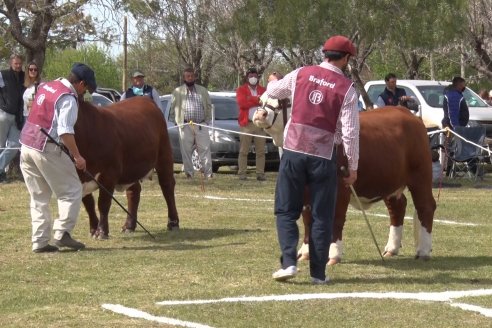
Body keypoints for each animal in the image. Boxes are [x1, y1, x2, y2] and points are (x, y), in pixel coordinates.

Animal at [75, 96, 179, 238]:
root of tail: (145, 99)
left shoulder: (109, 174)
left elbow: (103, 203)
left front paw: (101, 231)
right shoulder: (78, 176)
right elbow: (88, 203)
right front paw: (93, 229)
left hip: (164, 155)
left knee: (167, 186)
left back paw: (173, 223)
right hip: (131, 169)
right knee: (134, 191)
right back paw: (129, 226)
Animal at [256, 102, 436, 264]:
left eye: (282, 102)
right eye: (263, 96)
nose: (260, 113)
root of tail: (409, 114)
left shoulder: (340, 188)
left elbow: (336, 218)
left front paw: (334, 254)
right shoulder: (304, 190)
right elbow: (307, 219)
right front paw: (306, 252)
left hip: (421, 174)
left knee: (426, 206)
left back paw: (423, 251)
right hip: (390, 181)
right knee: (398, 207)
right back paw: (391, 249)